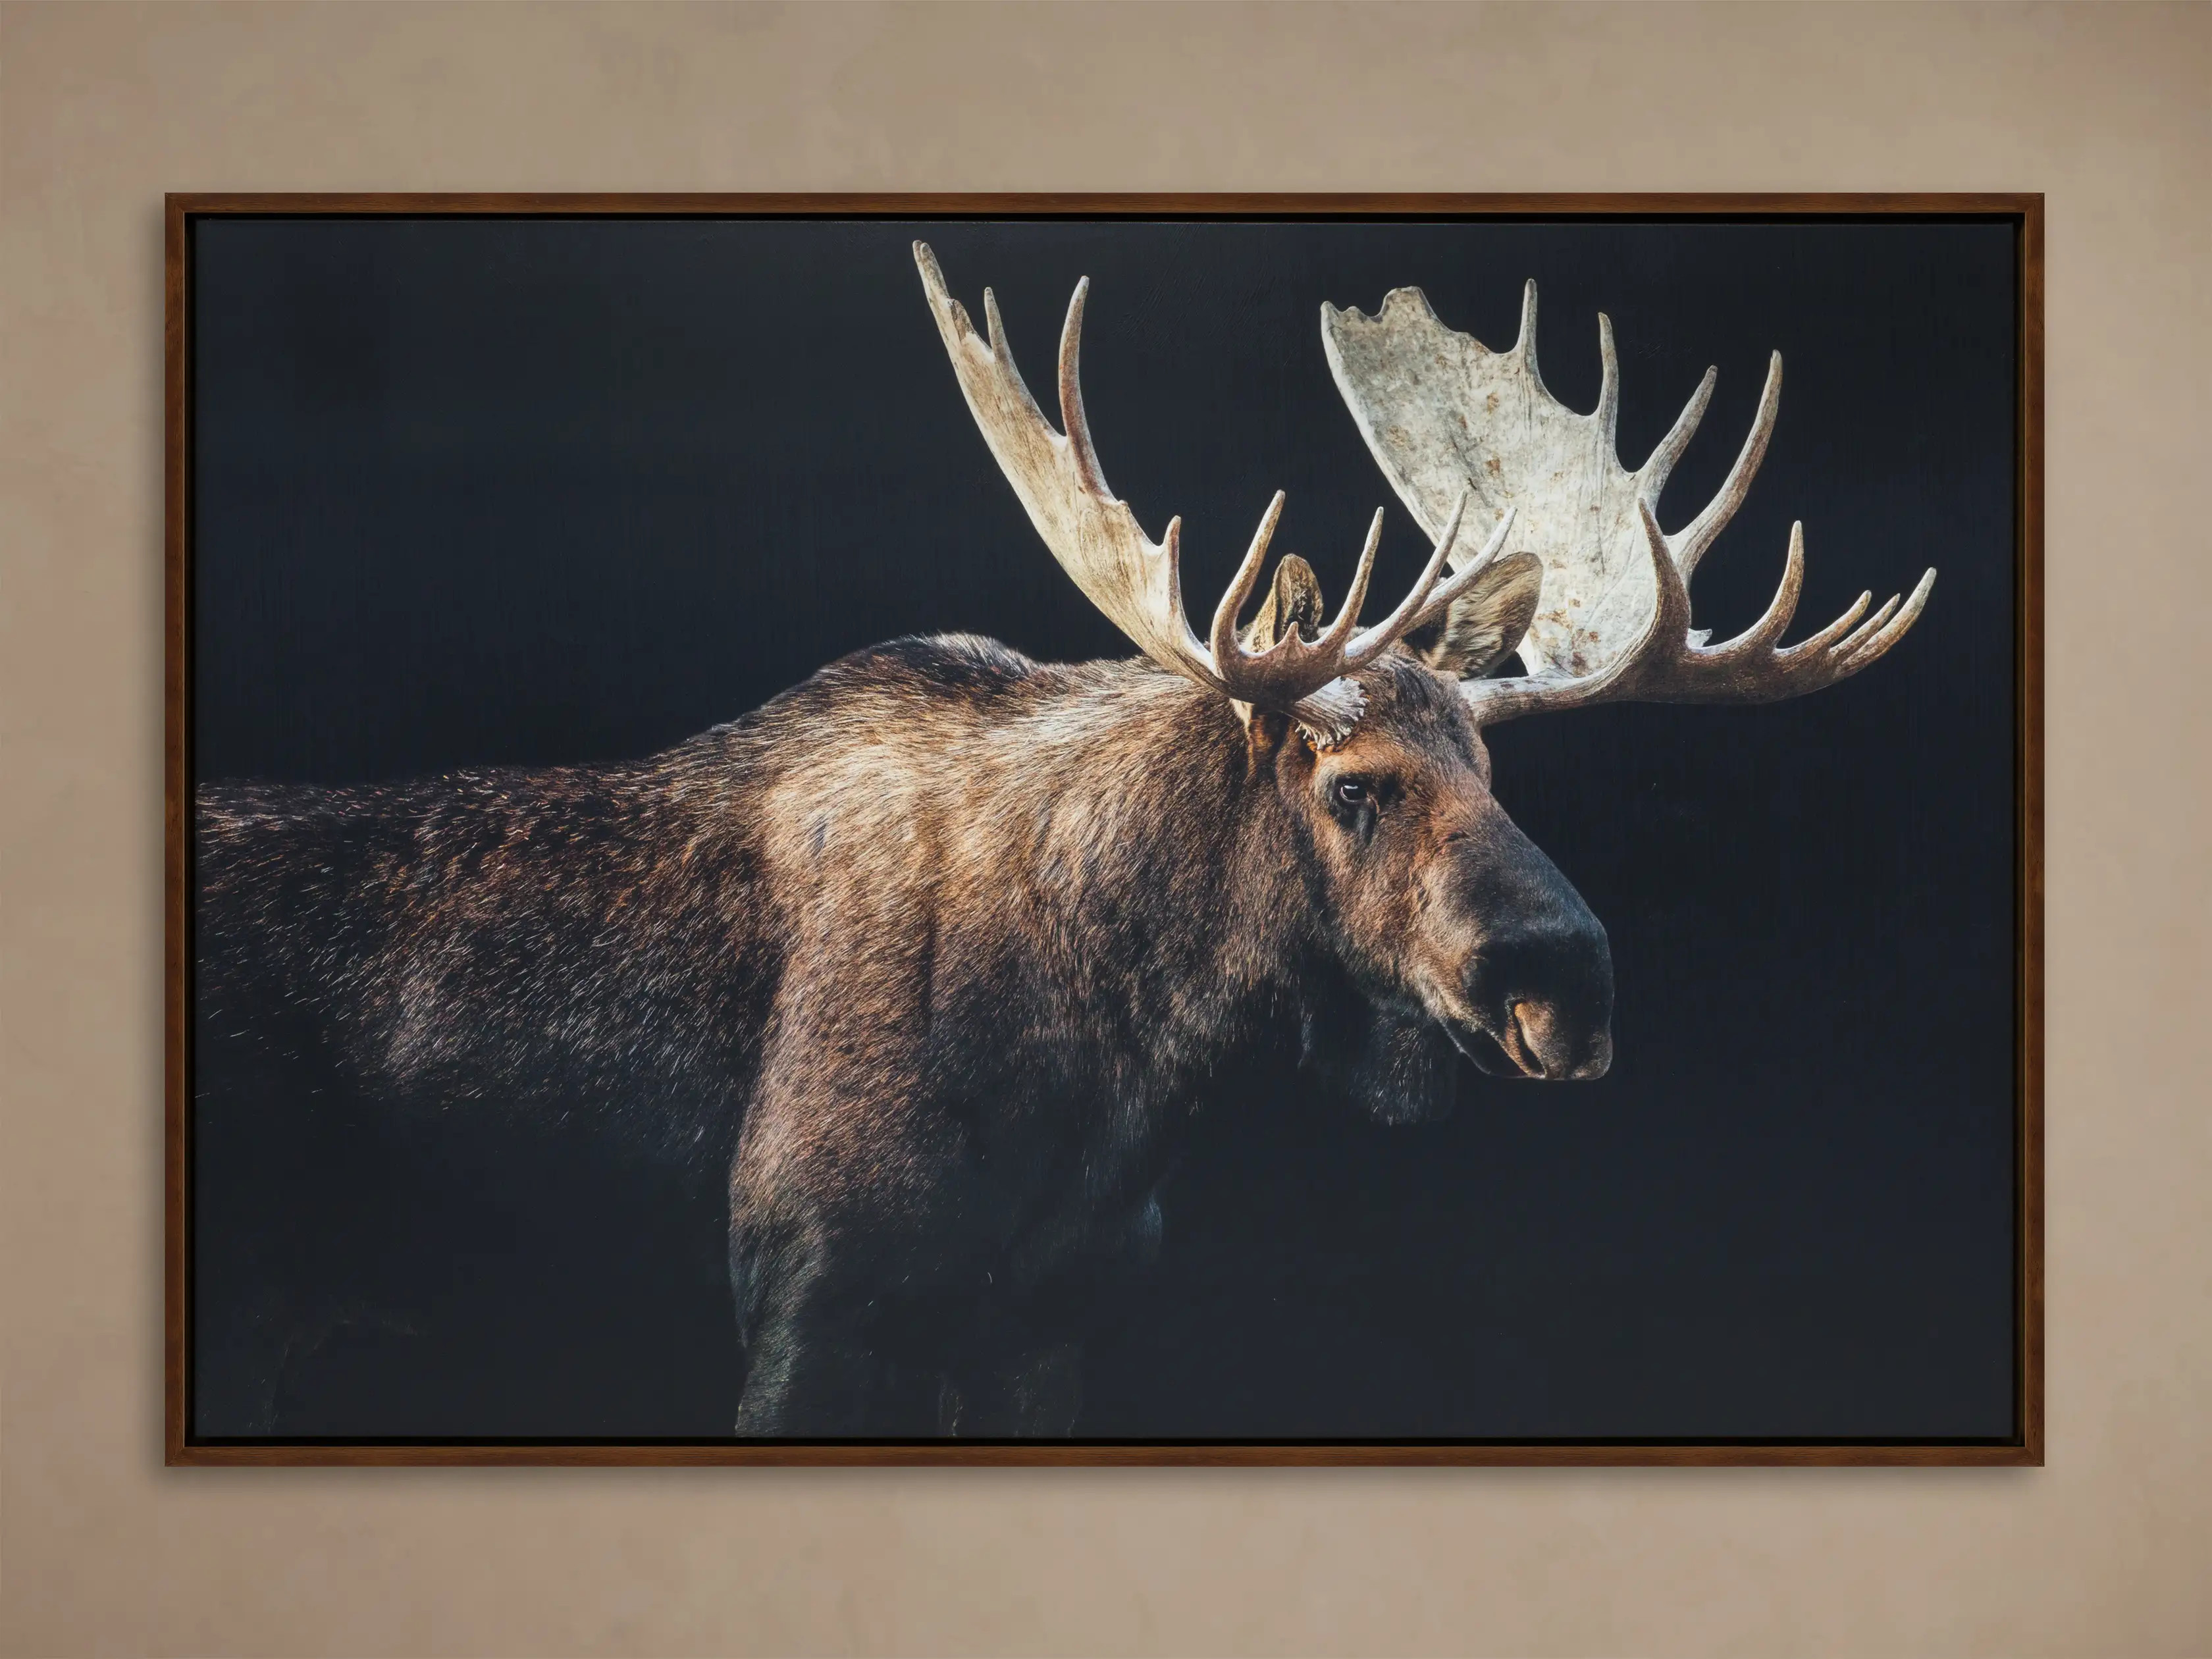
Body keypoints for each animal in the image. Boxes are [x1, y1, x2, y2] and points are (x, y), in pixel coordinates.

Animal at [192, 242, 1933, 1437]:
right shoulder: (808, 1307)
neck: (1120, 1074)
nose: (1567, 985)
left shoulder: (1049, 1331)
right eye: (1352, 784)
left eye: (1501, 775)